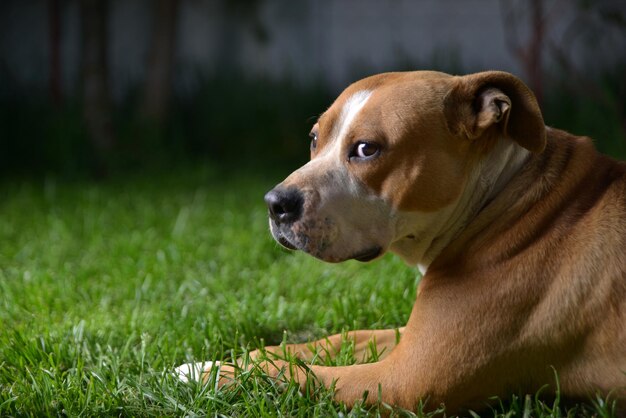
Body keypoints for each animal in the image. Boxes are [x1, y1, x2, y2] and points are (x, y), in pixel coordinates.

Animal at [177, 70, 624, 414]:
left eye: (366, 149)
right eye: (314, 139)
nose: (275, 203)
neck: (501, 194)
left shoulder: (401, 381)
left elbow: (293, 373)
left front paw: (207, 374)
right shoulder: (410, 338)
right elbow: (324, 342)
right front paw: (211, 361)